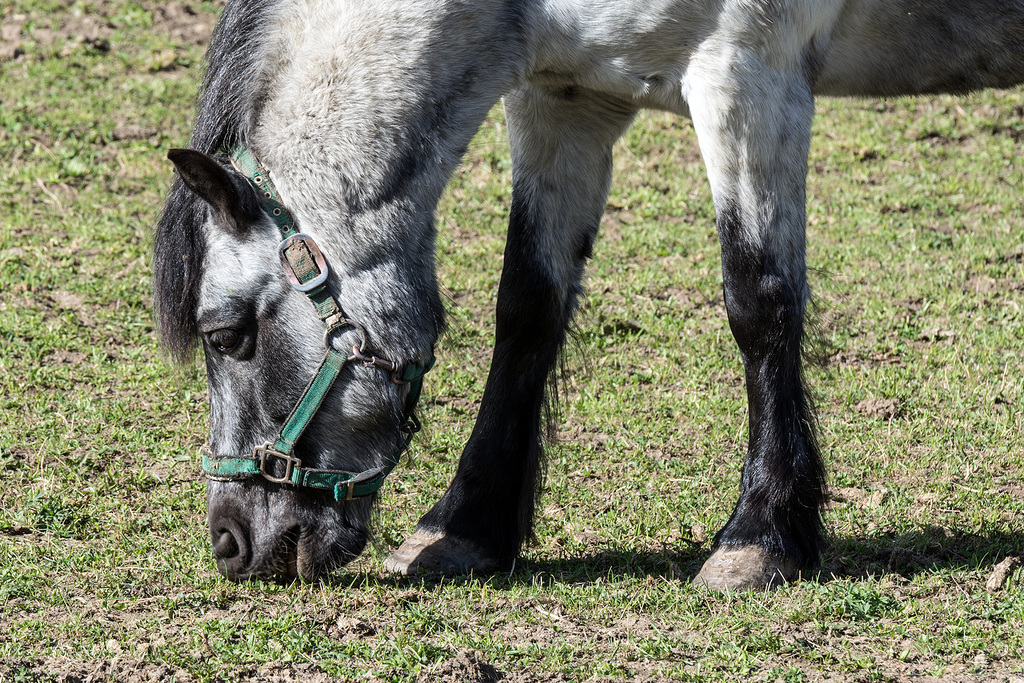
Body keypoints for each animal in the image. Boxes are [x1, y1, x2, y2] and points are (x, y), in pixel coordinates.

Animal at [153, 0, 1024, 589]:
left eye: (226, 333)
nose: (229, 543)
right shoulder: (564, 97)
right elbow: (527, 306)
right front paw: (464, 525)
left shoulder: (746, 73)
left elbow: (759, 302)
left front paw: (760, 537)